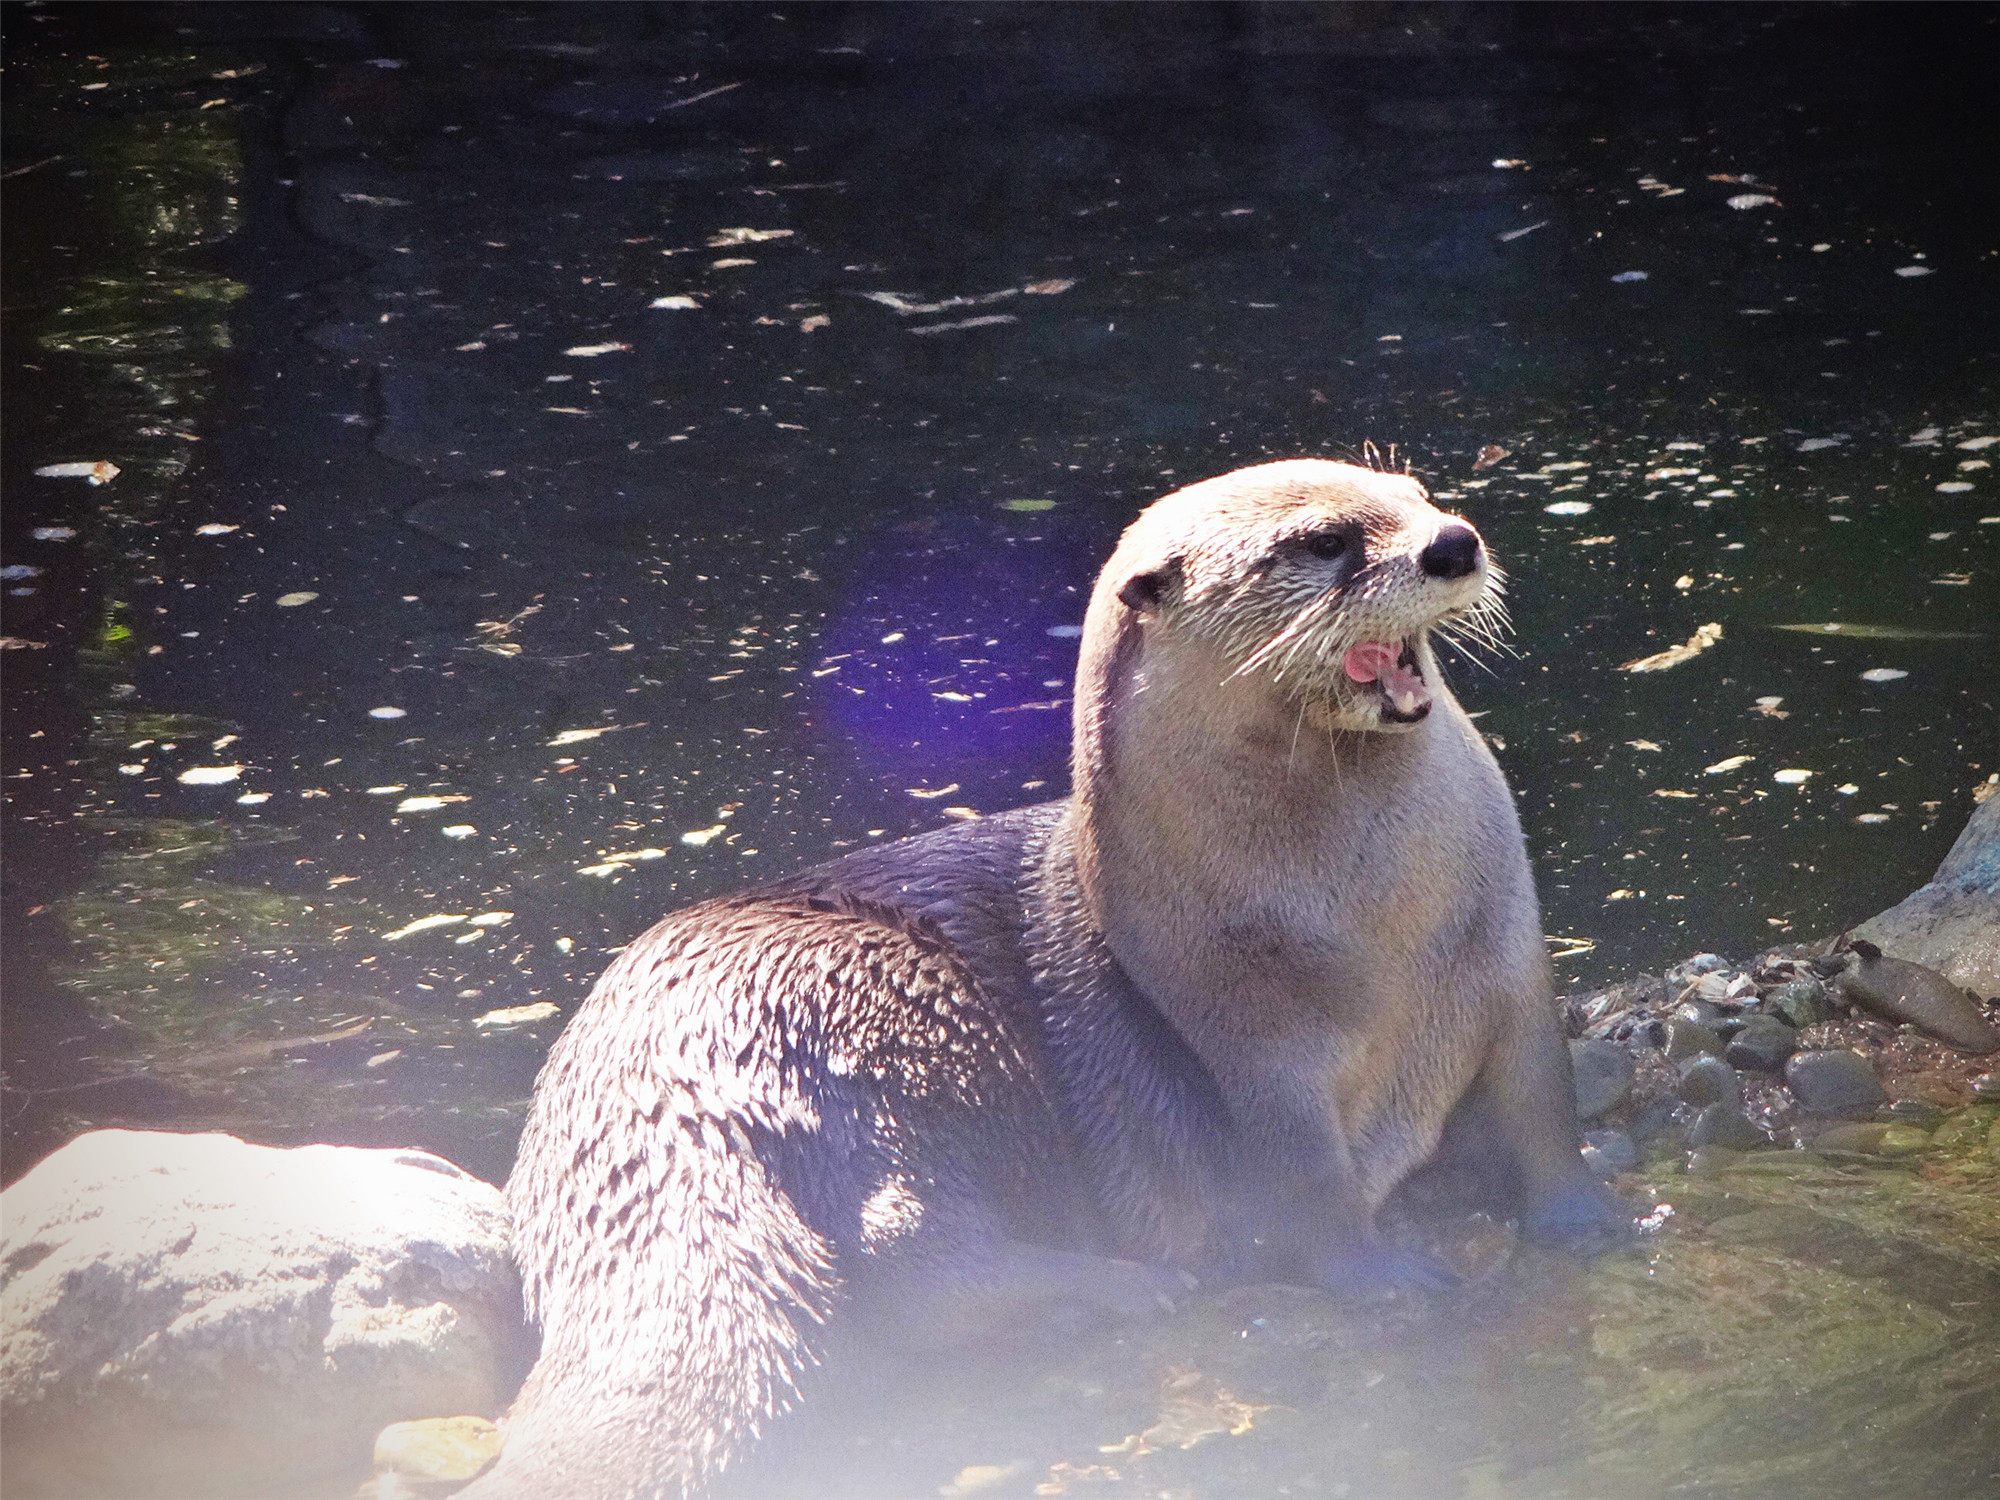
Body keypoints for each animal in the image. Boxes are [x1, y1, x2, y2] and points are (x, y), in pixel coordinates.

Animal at [464, 458, 1624, 1500]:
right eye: (1324, 542)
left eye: (1417, 495)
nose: (1452, 544)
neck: (1377, 936)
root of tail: (647, 1098)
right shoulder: (1249, 1042)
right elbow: (1308, 1184)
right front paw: (1385, 1279)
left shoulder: (1509, 960)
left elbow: (1542, 1105)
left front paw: (1590, 1216)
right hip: (888, 1025)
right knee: (908, 1247)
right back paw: (1119, 1290)